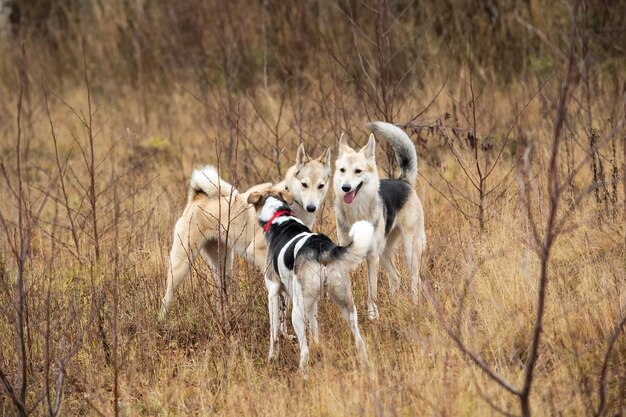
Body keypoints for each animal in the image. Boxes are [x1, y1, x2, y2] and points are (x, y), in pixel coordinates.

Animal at [246, 188, 370, 368]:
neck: (279, 215)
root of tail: (321, 246)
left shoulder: (273, 292)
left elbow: (274, 333)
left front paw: (272, 358)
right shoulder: (310, 303)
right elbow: (314, 330)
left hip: (297, 311)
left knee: (304, 351)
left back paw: (302, 371)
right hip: (345, 303)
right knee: (360, 341)